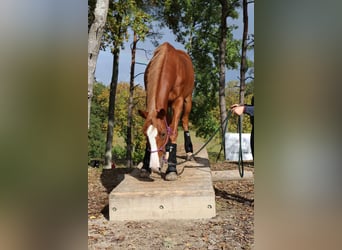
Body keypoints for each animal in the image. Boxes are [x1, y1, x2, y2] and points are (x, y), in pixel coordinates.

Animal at [138, 42, 194, 181]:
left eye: (163, 134)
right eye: (145, 134)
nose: (153, 166)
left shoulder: (178, 102)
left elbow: (173, 132)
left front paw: (171, 170)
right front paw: (145, 167)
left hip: (188, 99)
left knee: (184, 121)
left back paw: (189, 152)